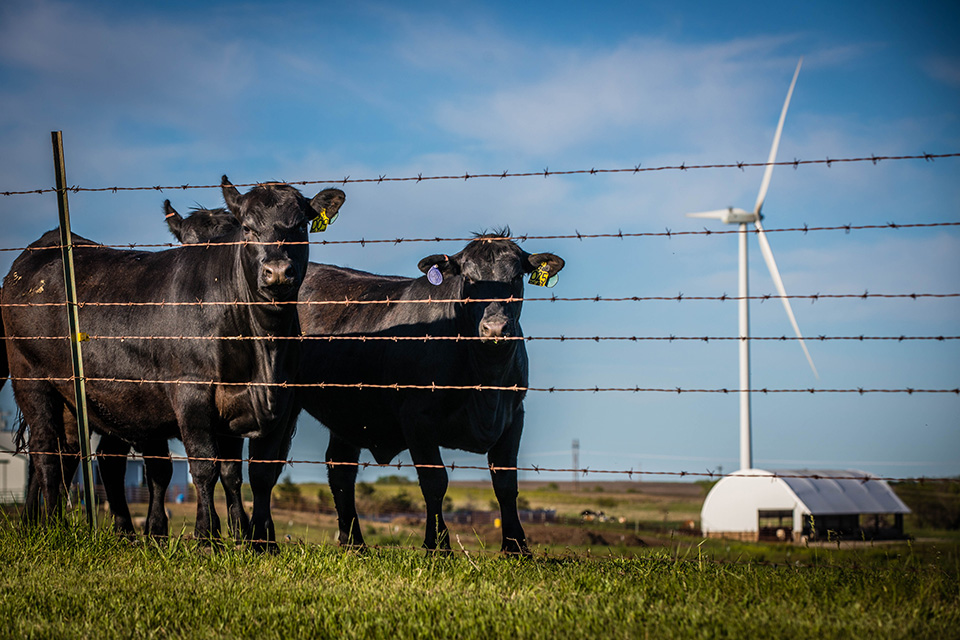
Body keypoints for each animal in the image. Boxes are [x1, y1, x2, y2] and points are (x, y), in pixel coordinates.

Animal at [0, 176, 344, 544]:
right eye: (249, 229)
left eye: (300, 226)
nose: (277, 272)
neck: (264, 349)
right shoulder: (190, 393)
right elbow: (204, 467)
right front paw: (207, 537)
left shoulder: (276, 400)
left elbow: (248, 474)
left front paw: (255, 541)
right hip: (31, 378)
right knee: (45, 450)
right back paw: (51, 526)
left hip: (85, 399)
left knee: (79, 452)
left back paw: (97, 529)